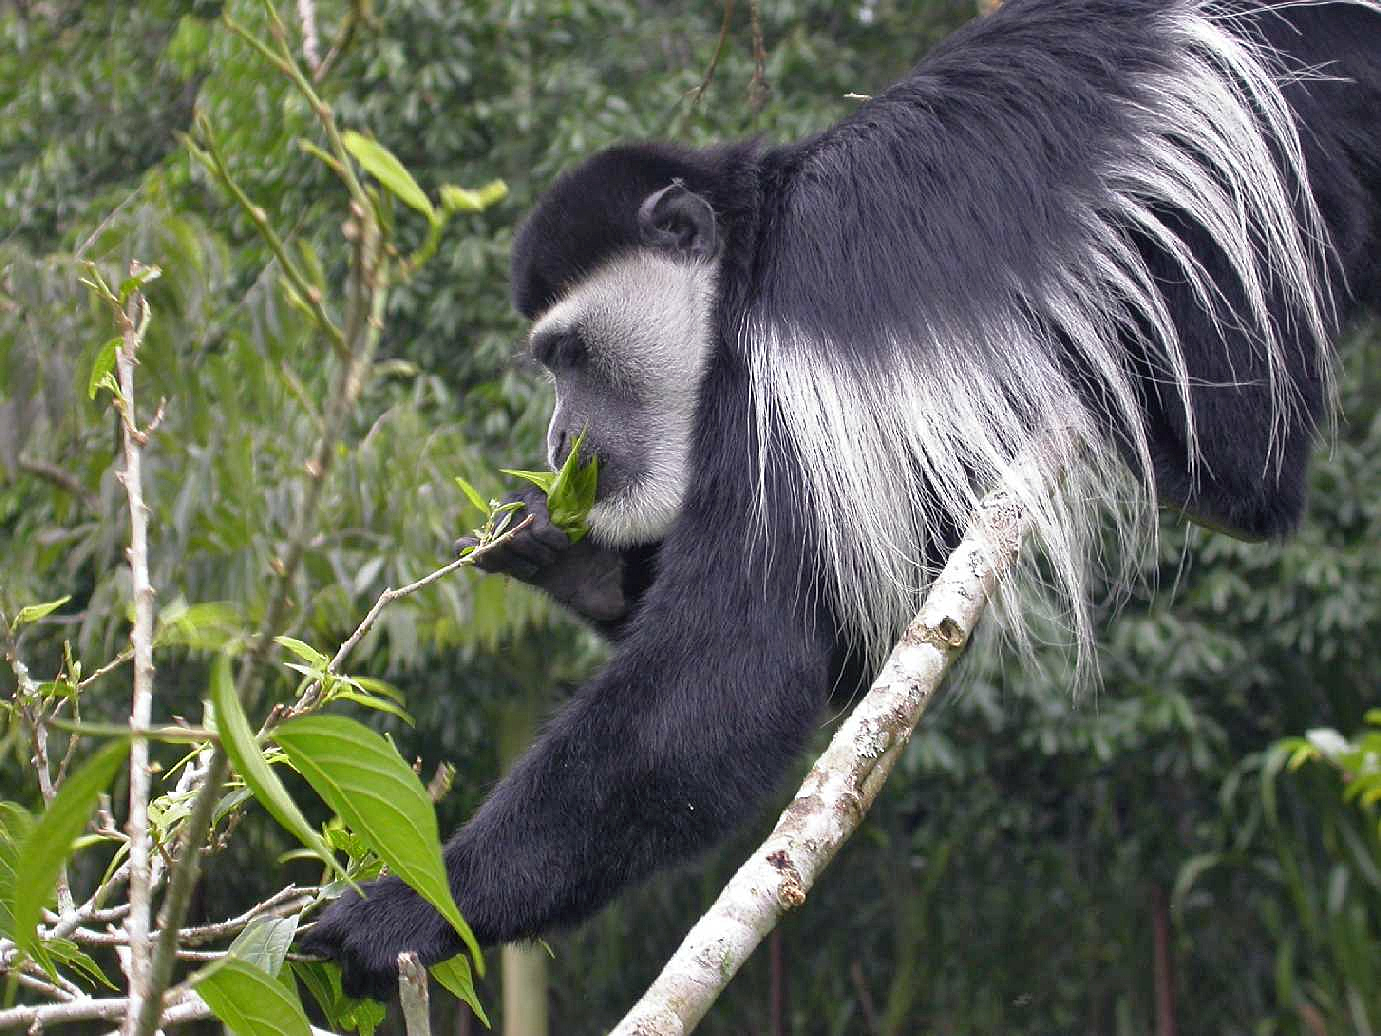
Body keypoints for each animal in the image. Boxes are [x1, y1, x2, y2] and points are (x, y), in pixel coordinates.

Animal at [305, 2, 1381, 1005]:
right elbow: (854, 625)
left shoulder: (778, 363)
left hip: (1270, 186)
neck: (749, 245)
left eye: (567, 354)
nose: (558, 442)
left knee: (1247, 440)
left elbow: (730, 676)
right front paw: (567, 559)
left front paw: (403, 910)